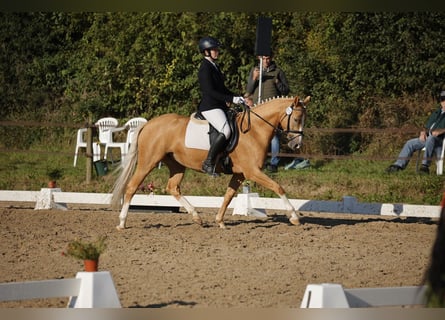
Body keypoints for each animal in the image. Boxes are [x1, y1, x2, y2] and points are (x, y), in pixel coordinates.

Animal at [111, 96, 308, 229]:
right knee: (132, 187)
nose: (297, 145)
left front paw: (220, 221)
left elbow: (229, 195)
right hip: (148, 162)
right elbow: (278, 187)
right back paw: (121, 222)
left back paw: (196, 216)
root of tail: (148, 124)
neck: (254, 131)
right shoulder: (252, 171)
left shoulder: (240, 173)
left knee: (173, 187)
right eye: (296, 119)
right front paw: (294, 217)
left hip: (177, 165)